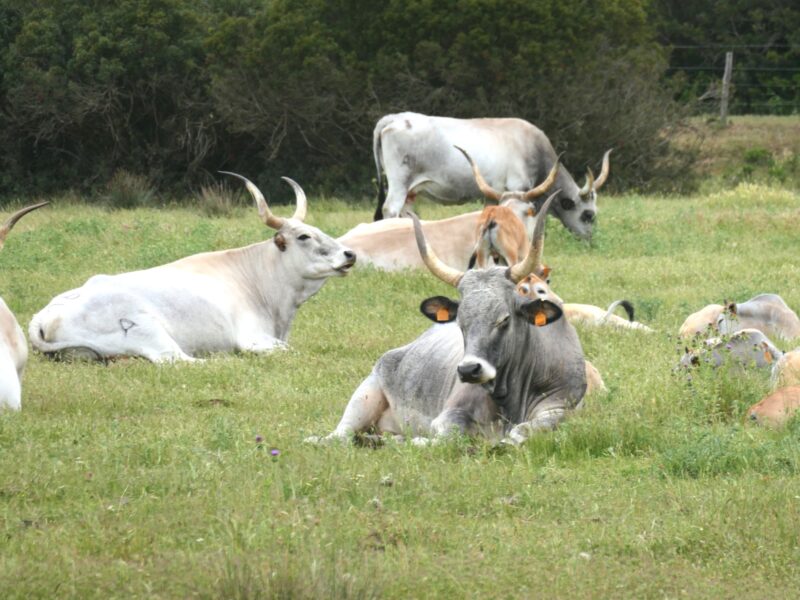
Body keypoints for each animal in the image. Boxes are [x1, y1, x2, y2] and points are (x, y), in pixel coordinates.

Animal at [28, 173, 354, 360]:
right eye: (303, 236)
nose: (349, 254)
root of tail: (44, 317)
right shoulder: (255, 339)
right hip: (150, 332)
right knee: (178, 360)